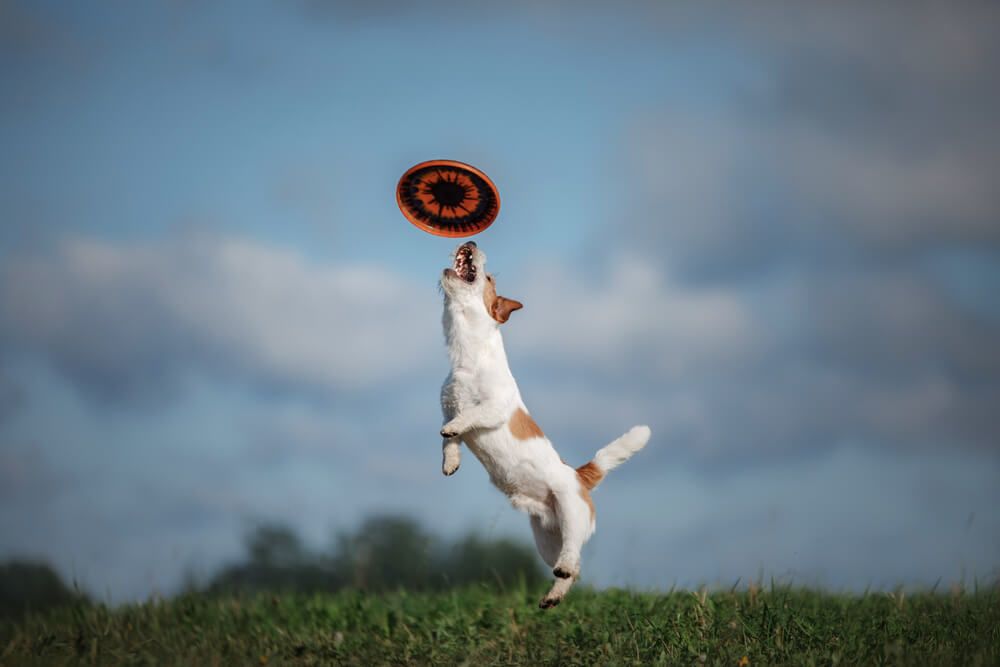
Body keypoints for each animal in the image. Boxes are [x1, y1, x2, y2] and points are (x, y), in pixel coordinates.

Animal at [438, 243, 648, 608]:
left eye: (489, 278)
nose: (473, 244)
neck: (468, 358)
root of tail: (581, 476)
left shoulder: (493, 408)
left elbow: (468, 418)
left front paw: (457, 430)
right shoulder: (446, 408)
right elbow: (450, 439)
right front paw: (450, 462)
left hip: (572, 514)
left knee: (573, 555)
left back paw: (561, 576)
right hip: (546, 539)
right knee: (573, 570)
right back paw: (554, 595)